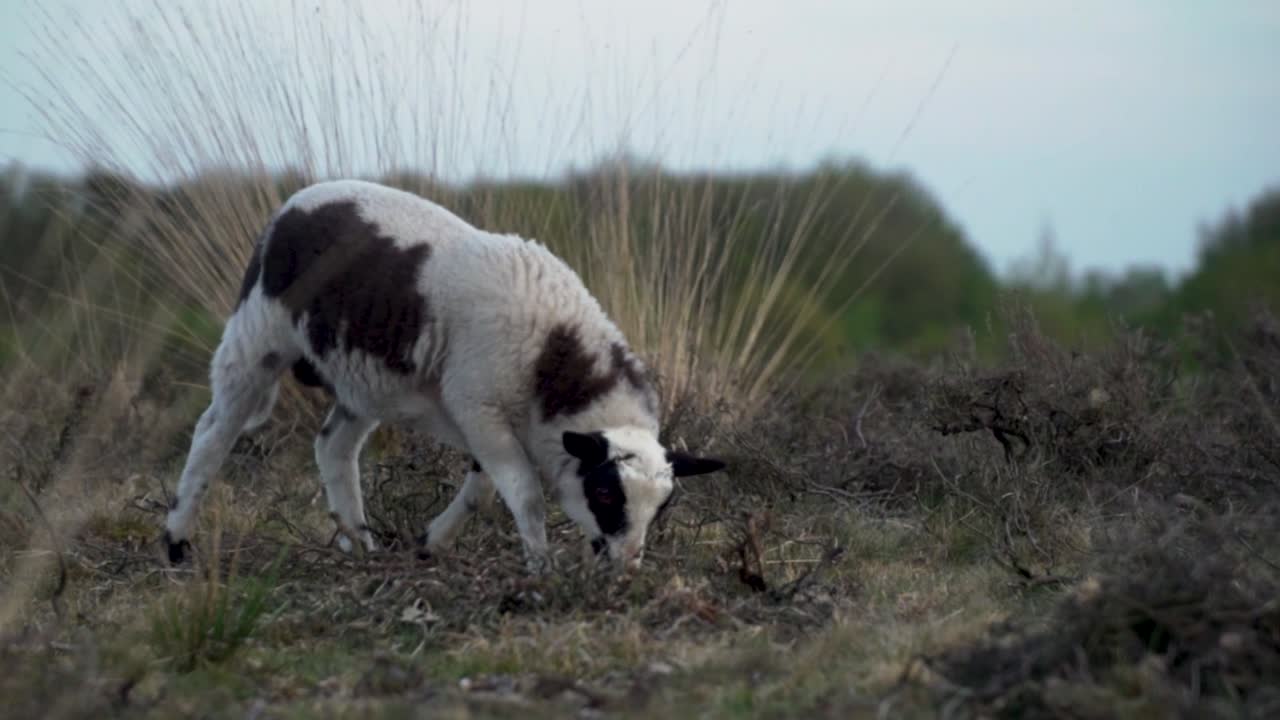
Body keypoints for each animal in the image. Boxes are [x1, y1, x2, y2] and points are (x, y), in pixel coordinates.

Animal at [163, 179, 725, 573]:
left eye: (663, 505)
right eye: (606, 493)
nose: (625, 570)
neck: (553, 356)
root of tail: (297, 202)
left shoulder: (484, 417)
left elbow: (482, 491)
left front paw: (429, 545)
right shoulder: (480, 406)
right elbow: (523, 493)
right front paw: (541, 570)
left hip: (363, 378)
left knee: (333, 447)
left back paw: (360, 544)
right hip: (256, 338)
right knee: (214, 432)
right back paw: (176, 542)